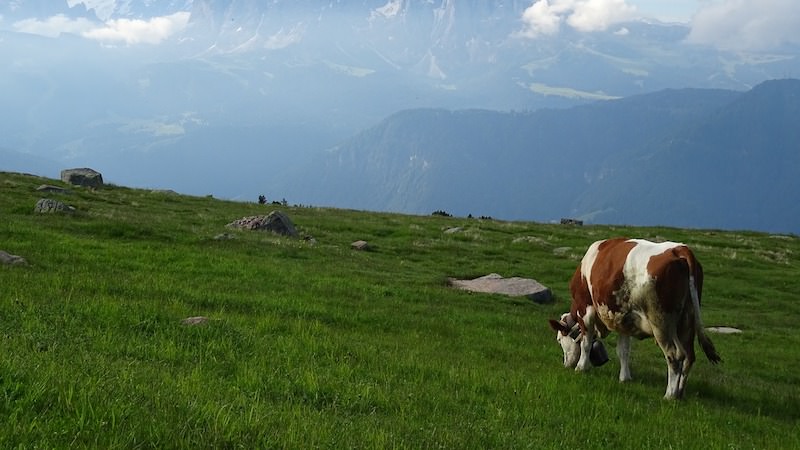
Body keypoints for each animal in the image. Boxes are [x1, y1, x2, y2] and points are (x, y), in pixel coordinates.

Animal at [548, 237, 720, 400]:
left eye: (559, 340)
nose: (566, 364)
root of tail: (680, 249)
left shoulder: (586, 309)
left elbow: (586, 342)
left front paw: (581, 367)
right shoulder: (622, 320)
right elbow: (623, 350)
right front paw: (625, 378)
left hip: (661, 322)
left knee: (674, 355)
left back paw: (670, 395)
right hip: (687, 322)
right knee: (689, 356)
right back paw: (680, 393)